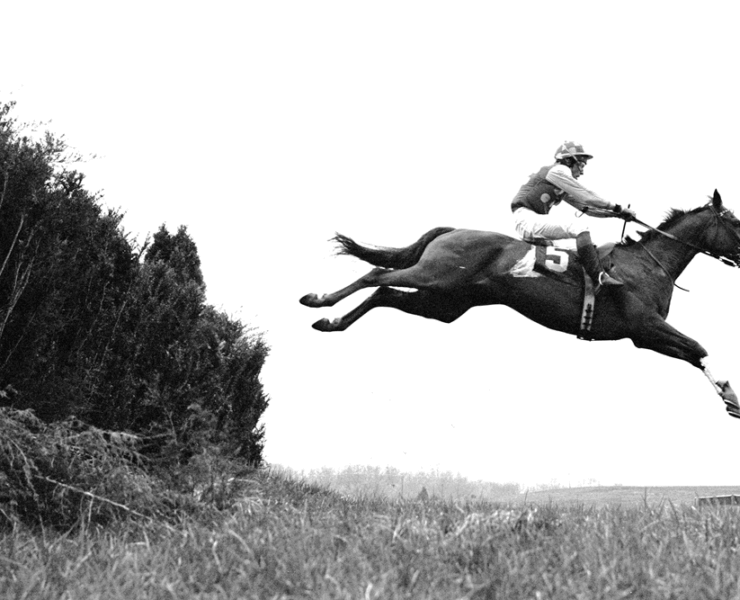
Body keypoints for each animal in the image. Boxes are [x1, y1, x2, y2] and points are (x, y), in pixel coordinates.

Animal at [300, 190, 740, 419]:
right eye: (735, 222)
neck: (648, 265)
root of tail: (452, 231)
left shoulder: (646, 336)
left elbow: (694, 354)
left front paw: (730, 399)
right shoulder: (644, 327)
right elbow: (698, 347)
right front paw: (730, 395)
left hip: (444, 303)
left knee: (384, 294)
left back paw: (332, 322)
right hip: (433, 276)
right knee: (376, 276)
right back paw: (319, 301)